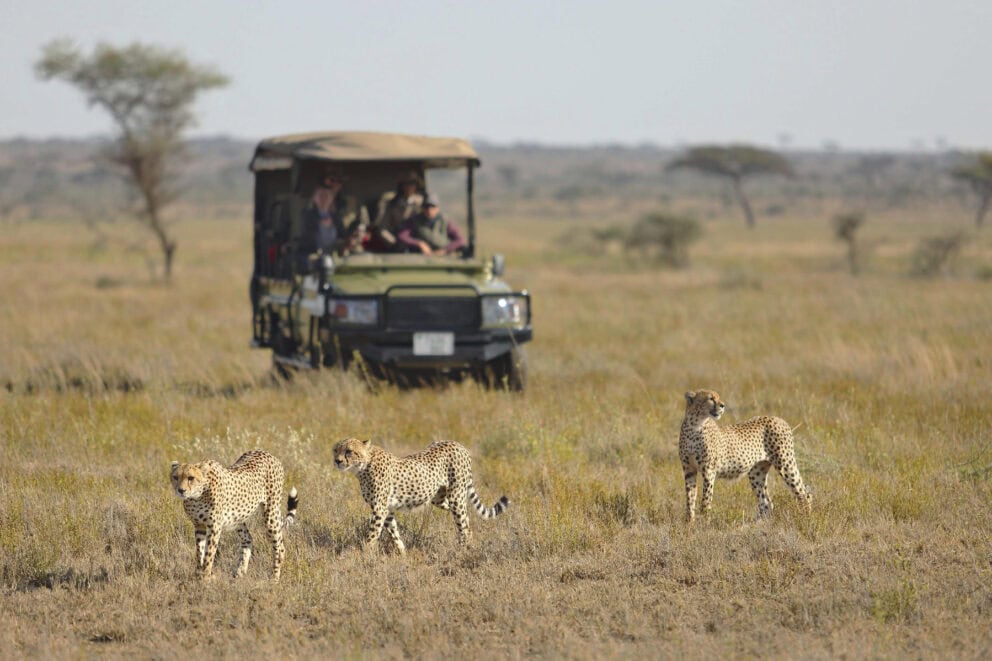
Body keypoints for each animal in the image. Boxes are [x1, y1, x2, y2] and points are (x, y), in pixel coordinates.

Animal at [170, 449, 298, 580]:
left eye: (191, 478)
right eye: (175, 477)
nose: (181, 490)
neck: (196, 496)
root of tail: (267, 453)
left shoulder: (214, 527)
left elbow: (209, 554)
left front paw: (206, 576)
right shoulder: (199, 525)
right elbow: (199, 552)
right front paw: (198, 574)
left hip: (270, 514)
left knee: (280, 548)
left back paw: (274, 578)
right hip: (238, 519)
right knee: (248, 539)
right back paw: (240, 572)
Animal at [332, 438, 509, 554]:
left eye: (349, 451)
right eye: (335, 450)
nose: (337, 461)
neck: (363, 466)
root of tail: (457, 444)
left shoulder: (379, 509)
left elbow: (372, 535)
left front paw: (364, 555)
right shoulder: (386, 510)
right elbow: (394, 533)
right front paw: (403, 554)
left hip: (456, 496)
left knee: (462, 524)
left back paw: (463, 550)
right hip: (440, 499)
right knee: (466, 520)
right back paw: (467, 543)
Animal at [678, 389, 811, 523]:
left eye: (718, 397)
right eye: (710, 398)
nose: (723, 405)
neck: (695, 425)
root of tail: (779, 418)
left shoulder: (708, 470)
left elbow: (706, 499)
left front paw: (705, 522)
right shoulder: (689, 470)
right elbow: (690, 498)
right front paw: (690, 523)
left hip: (785, 463)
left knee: (804, 492)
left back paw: (805, 518)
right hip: (757, 472)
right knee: (766, 503)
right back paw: (758, 524)